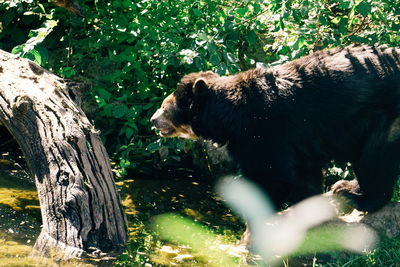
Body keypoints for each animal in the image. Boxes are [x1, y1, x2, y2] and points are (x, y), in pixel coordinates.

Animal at [149, 46, 400, 214]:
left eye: (164, 107)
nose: (153, 120)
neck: (232, 116)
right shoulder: (300, 141)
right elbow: (305, 175)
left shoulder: (264, 130)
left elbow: (273, 174)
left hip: (385, 118)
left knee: (375, 159)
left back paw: (355, 194)